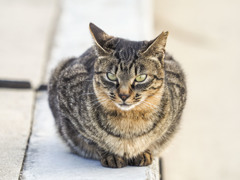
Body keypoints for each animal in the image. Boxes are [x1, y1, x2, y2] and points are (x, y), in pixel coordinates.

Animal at [48, 22, 187, 169]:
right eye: (111, 76)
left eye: (141, 77)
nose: (123, 95)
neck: (129, 121)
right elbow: (92, 141)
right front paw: (111, 155)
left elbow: (155, 139)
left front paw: (142, 153)